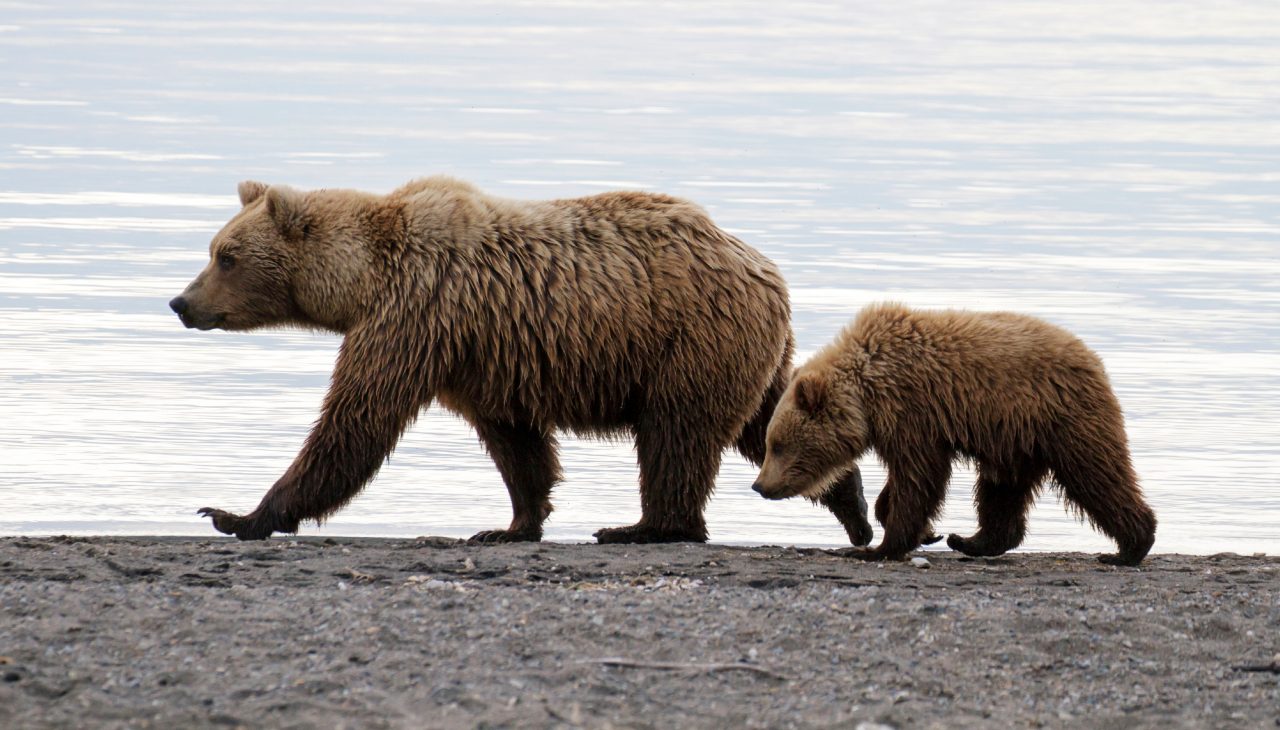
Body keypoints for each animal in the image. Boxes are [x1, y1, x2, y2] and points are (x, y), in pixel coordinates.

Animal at [167, 174, 870, 540]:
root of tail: (763, 268)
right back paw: (852, 508)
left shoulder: (415, 316)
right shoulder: (479, 353)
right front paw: (512, 523)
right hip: (743, 348)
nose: (180, 302)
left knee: (677, 434)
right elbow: (515, 442)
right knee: (766, 416)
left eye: (225, 255)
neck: (361, 279)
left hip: (688, 339)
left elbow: (356, 421)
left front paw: (237, 513)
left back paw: (646, 525)